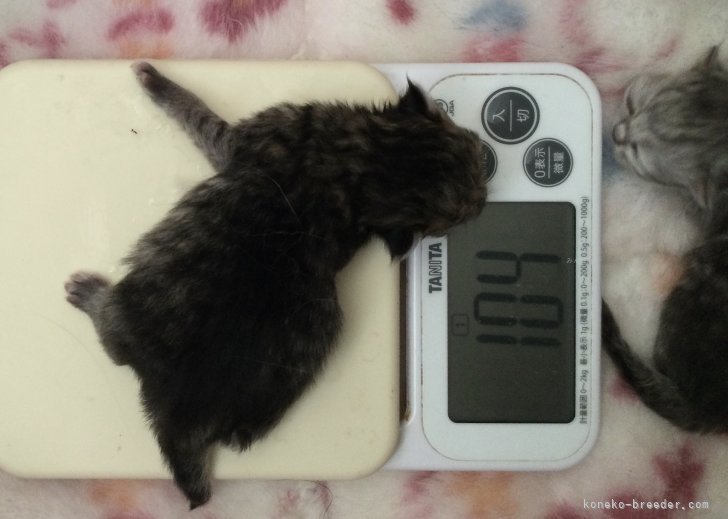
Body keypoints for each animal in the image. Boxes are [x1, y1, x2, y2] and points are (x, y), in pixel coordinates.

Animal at [64, 61, 486, 508]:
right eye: (471, 146)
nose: (485, 193)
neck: (367, 167)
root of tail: (181, 411)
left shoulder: (239, 140)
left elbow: (196, 115)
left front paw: (154, 81)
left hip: (135, 306)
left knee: (112, 336)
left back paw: (85, 292)